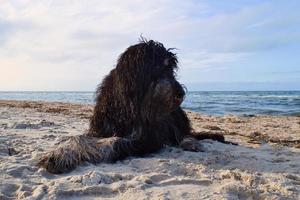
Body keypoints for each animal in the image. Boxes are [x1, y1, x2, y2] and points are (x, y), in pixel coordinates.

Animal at [38, 39, 229, 173]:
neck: (126, 105)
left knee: (184, 134)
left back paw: (191, 143)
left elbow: (114, 141)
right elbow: (77, 138)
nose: (181, 94)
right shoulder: (101, 128)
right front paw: (59, 154)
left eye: (171, 70)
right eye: (160, 69)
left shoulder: (146, 137)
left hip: (176, 116)